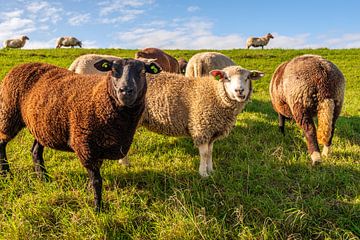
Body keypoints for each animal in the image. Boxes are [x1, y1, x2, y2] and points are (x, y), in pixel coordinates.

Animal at [0, 58, 162, 210]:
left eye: (142, 71)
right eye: (113, 70)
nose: (126, 91)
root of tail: (19, 66)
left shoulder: (97, 148)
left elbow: (93, 178)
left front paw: (89, 192)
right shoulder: (86, 146)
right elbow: (97, 181)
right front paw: (98, 208)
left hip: (42, 126)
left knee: (35, 152)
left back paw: (44, 178)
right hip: (8, 114)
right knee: (2, 144)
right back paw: (6, 174)